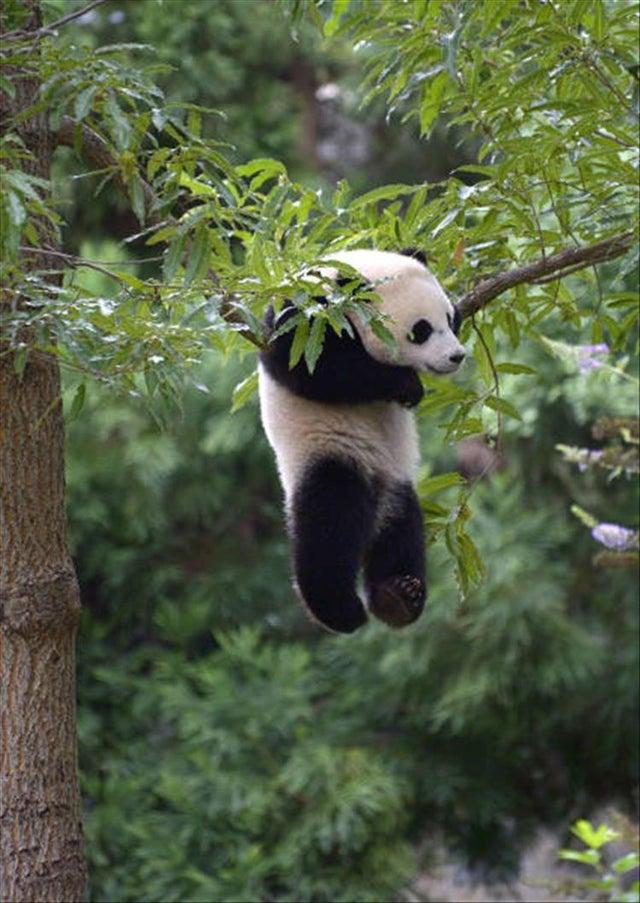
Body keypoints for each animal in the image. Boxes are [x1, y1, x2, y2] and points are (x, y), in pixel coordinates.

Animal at [258, 247, 464, 636]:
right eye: (421, 331)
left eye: (450, 318)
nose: (457, 356)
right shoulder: (306, 317)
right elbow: (311, 366)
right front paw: (404, 384)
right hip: (327, 451)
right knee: (329, 526)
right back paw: (339, 610)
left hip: (396, 480)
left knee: (401, 530)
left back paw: (398, 596)